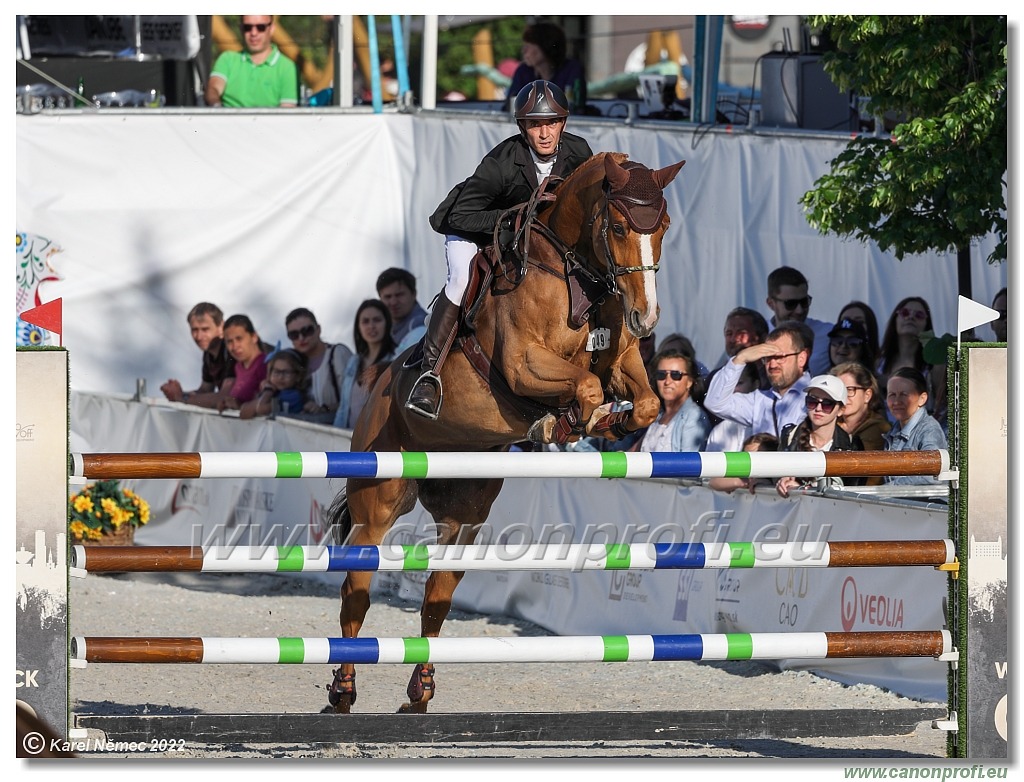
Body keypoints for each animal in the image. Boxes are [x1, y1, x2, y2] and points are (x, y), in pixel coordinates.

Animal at [323, 152, 684, 716]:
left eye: (663, 226)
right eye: (621, 227)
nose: (645, 318)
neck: (575, 274)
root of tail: (380, 381)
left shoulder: (621, 359)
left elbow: (641, 400)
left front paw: (603, 422)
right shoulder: (523, 366)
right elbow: (582, 385)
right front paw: (566, 421)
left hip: (463, 516)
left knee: (437, 597)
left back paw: (420, 691)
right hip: (378, 498)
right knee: (355, 588)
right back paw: (343, 688)